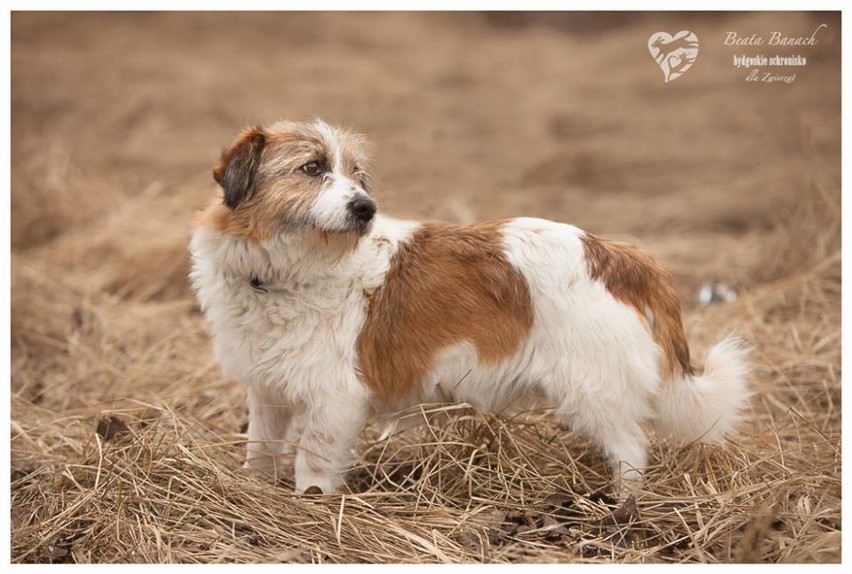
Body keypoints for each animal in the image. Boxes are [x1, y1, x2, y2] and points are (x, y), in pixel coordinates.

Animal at [190, 119, 748, 498]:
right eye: (312, 168)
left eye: (357, 176)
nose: (365, 209)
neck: (283, 274)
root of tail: (612, 252)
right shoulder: (268, 392)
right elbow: (260, 451)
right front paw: (254, 491)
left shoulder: (334, 400)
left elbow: (313, 466)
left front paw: (310, 507)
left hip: (593, 389)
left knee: (632, 450)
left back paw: (620, 506)